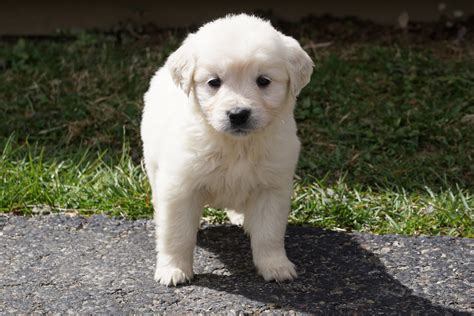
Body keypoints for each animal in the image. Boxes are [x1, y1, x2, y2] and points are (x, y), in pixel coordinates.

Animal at [139, 12, 312, 286]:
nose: (238, 114)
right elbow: (177, 233)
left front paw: (275, 266)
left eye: (263, 81)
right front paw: (173, 269)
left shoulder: (273, 187)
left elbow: (269, 233)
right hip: (154, 163)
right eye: (214, 82)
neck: (236, 146)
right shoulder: (180, 187)